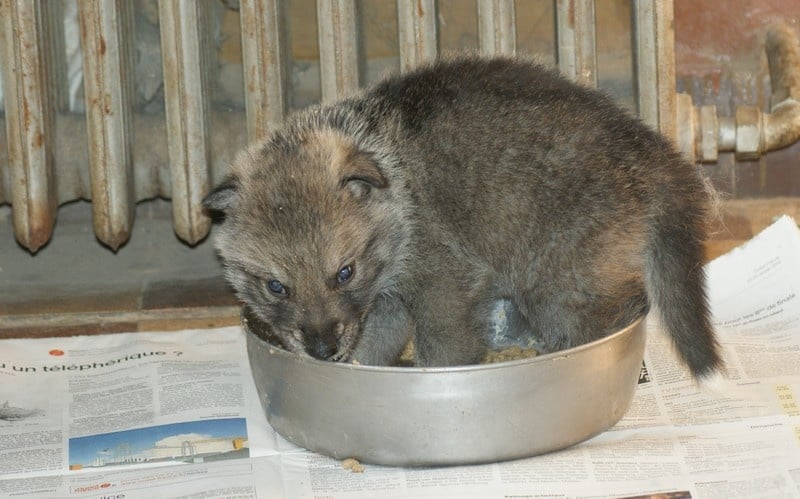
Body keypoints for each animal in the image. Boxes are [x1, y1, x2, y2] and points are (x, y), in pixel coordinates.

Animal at [203, 54, 720, 380]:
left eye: (343, 273)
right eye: (276, 286)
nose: (322, 352)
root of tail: (652, 153)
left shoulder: (445, 285)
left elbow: (444, 347)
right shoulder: (387, 302)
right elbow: (375, 343)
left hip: (557, 278)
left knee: (611, 313)